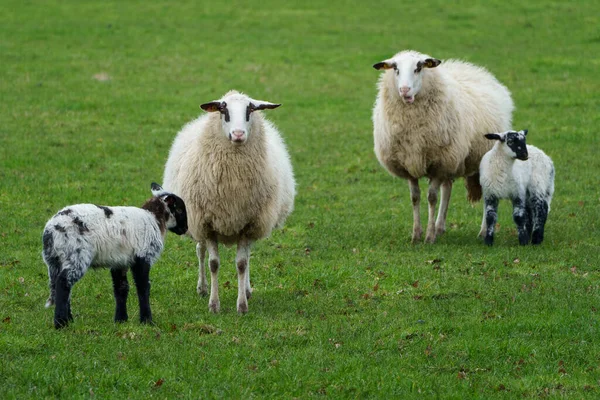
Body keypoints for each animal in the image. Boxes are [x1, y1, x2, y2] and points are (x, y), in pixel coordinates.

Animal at [41, 184, 188, 328]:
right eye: (180, 210)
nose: (185, 229)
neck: (154, 218)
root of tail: (50, 231)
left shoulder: (119, 261)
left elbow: (121, 288)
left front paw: (121, 319)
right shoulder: (142, 256)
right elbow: (143, 287)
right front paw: (147, 321)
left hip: (55, 261)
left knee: (62, 286)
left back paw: (69, 320)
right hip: (76, 255)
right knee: (63, 283)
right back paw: (61, 323)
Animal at [163, 89, 296, 314]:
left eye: (250, 110)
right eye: (223, 110)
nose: (238, 134)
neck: (233, 186)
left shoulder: (248, 223)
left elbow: (242, 263)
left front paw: (242, 305)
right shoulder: (206, 223)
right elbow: (213, 264)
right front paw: (213, 304)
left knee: (247, 256)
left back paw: (247, 290)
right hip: (194, 220)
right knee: (200, 251)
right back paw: (202, 288)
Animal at [372, 50, 512, 244]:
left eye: (418, 68)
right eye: (396, 69)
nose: (404, 90)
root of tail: (476, 70)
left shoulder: (439, 164)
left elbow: (432, 198)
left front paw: (429, 237)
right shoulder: (410, 164)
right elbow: (415, 198)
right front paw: (416, 235)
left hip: (481, 159)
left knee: (487, 193)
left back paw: (483, 231)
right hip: (452, 158)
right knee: (447, 189)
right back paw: (440, 227)